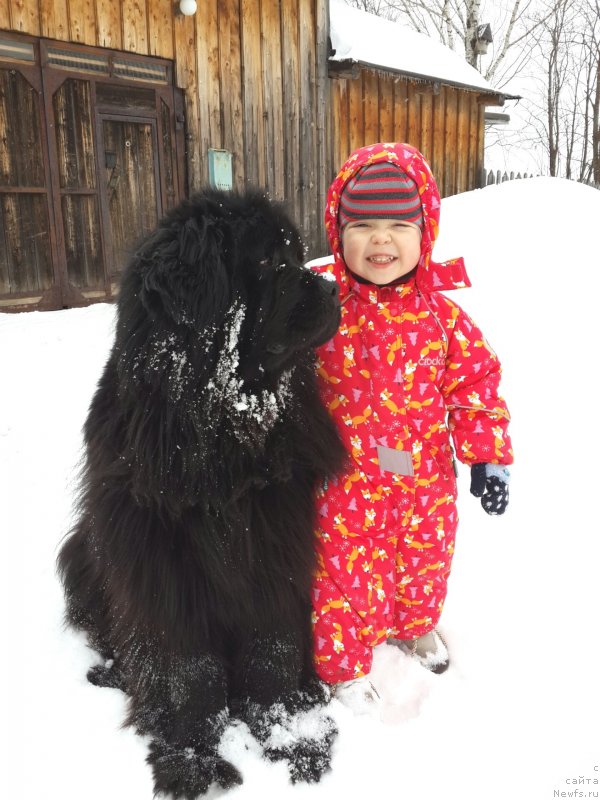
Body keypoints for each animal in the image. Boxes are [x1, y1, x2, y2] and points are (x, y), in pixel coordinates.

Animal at [58, 188, 346, 792]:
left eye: (296, 253)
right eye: (269, 261)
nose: (333, 288)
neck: (221, 431)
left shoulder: (276, 548)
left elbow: (272, 651)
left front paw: (293, 737)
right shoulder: (161, 565)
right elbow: (187, 671)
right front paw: (192, 758)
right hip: (82, 554)